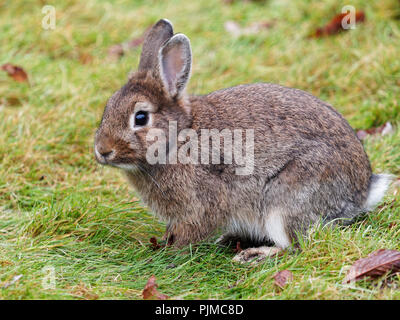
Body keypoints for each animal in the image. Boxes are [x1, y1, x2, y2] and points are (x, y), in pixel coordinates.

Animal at [95, 18, 392, 262]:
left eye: (141, 117)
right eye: (108, 106)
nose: (102, 151)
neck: (178, 137)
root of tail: (360, 194)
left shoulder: (200, 204)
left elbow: (190, 232)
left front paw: (169, 254)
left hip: (285, 199)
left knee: (297, 245)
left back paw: (255, 254)